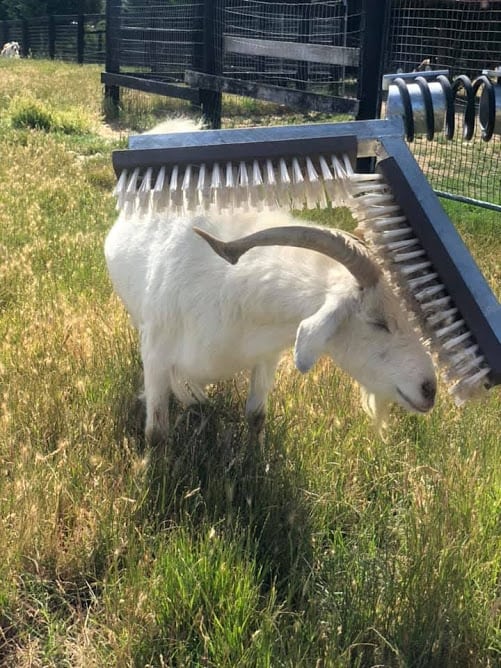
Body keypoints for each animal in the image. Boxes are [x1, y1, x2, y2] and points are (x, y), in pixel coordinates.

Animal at [104, 198, 434, 444]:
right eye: (378, 321)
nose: (429, 390)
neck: (228, 288)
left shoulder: (266, 356)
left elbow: (256, 416)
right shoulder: (157, 355)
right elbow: (156, 432)